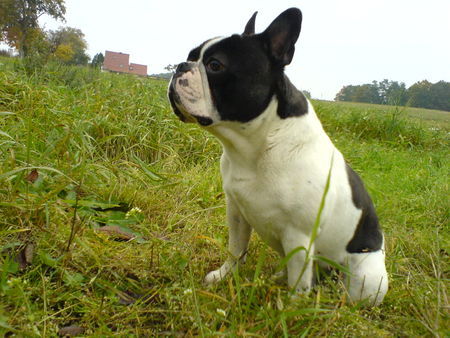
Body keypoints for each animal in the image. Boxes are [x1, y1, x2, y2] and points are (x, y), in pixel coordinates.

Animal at [167, 7, 388, 304]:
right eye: (192, 56)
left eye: (215, 65)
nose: (180, 65)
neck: (257, 143)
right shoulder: (237, 211)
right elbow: (236, 249)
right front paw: (225, 276)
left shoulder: (299, 236)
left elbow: (298, 283)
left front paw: (291, 308)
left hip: (367, 278)